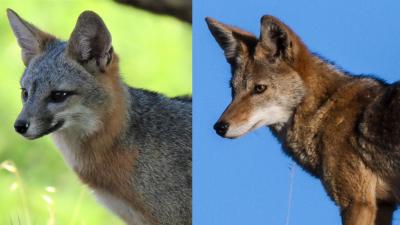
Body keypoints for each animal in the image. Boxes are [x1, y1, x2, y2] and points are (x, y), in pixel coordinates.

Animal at [209, 15, 400, 225]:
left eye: (259, 88)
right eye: (232, 89)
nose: (219, 127)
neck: (323, 111)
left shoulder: (357, 202)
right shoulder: (383, 205)